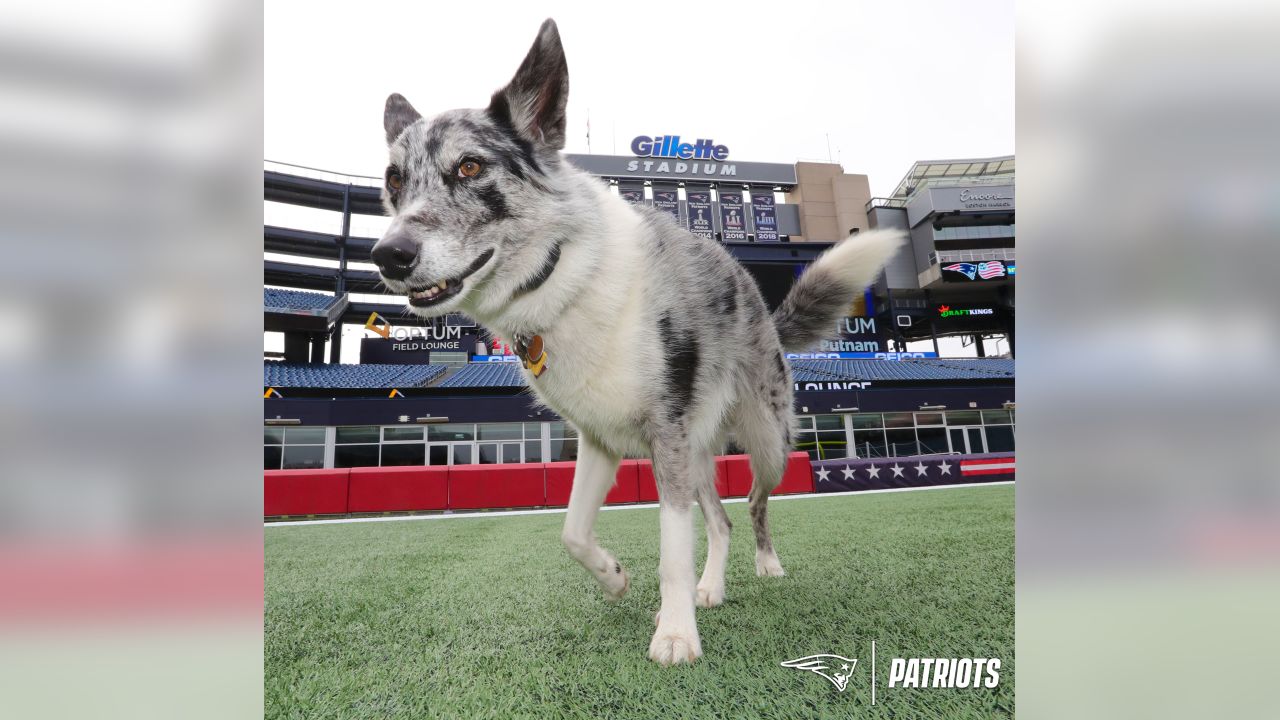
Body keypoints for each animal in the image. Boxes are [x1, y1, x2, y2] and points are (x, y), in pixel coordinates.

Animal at [371, 18, 901, 666]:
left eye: (469, 168)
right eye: (395, 180)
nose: (387, 256)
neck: (560, 270)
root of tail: (765, 313)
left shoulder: (664, 434)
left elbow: (672, 547)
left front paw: (673, 635)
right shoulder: (599, 439)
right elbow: (572, 532)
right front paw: (616, 579)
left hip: (767, 441)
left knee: (753, 504)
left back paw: (766, 566)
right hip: (699, 454)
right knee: (720, 522)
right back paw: (710, 589)